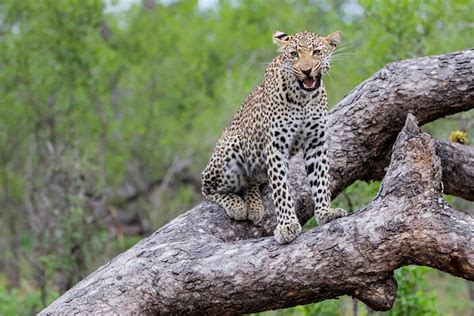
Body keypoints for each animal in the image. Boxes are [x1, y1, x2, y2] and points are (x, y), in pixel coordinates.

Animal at [201, 30, 348, 244]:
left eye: (316, 52)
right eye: (294, 54)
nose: (306, 71)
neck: (303, 98)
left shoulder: (316, 143)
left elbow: (320, 180)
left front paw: (326, 212)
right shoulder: (276, 147)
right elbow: (281, 190)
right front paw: (287, 226)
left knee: (250, 183)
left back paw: (253, 205)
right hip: (230, 147)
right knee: (206, 187)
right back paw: (236, 205)